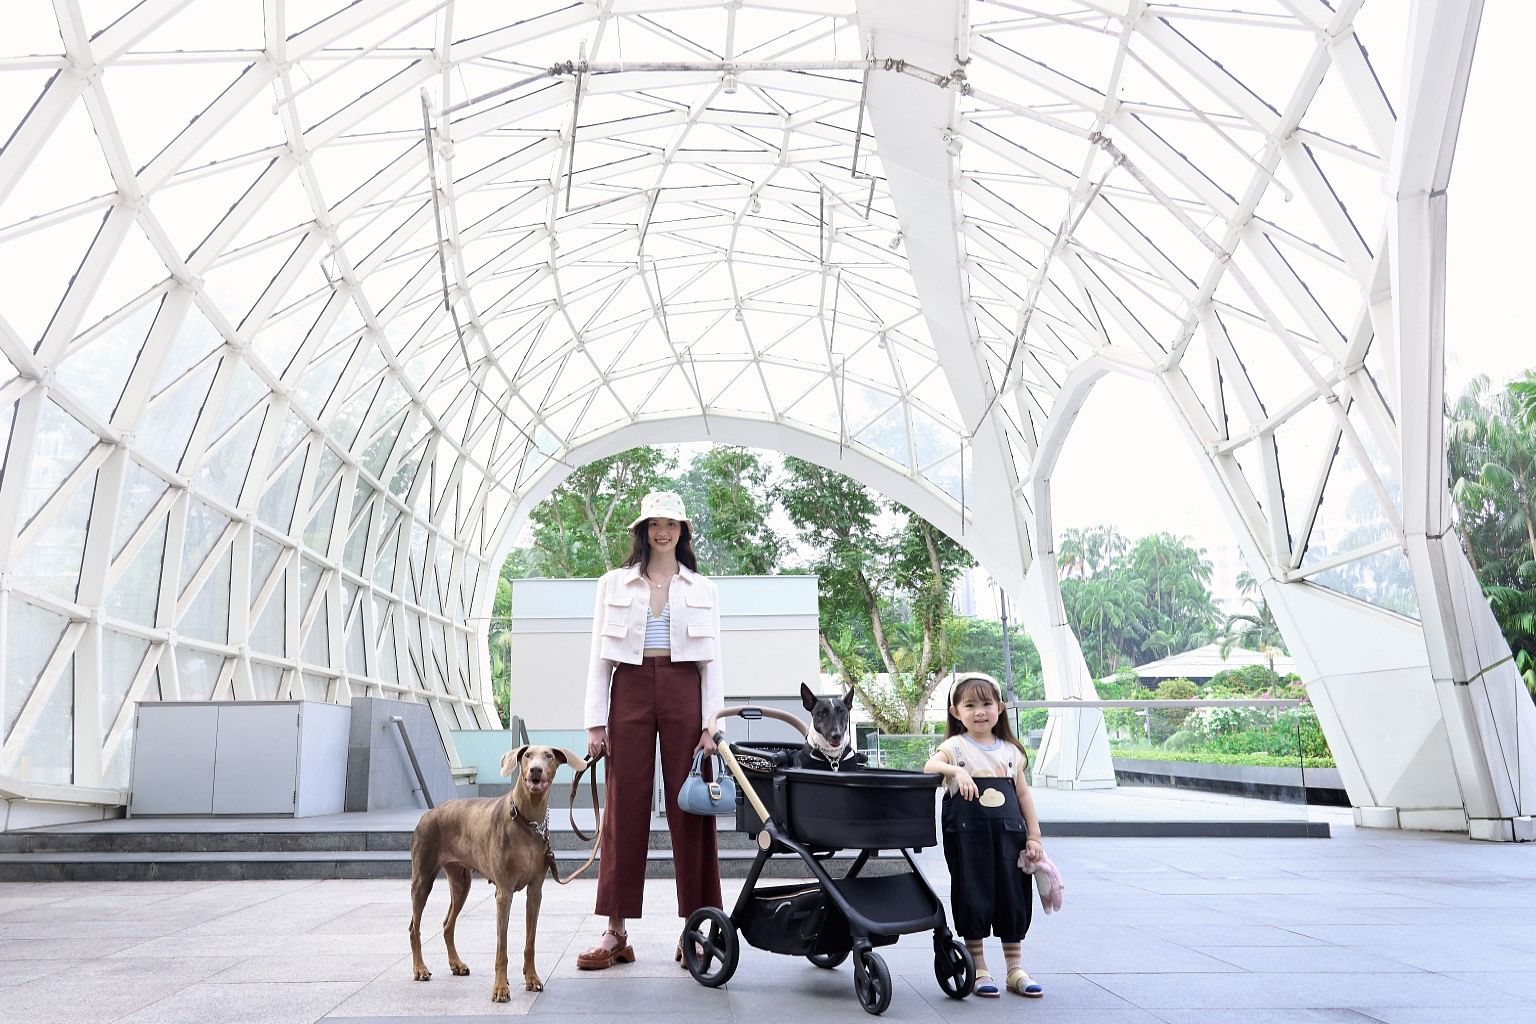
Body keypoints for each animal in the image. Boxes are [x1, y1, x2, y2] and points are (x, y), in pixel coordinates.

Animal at [405, 746, 583, 1000]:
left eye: (549, 756)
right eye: (527, 755)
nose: (536, 770)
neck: (528, 822)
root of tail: (427, 814)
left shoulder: (535, 892)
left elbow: (530, 942)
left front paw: (531, 978)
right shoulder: (504, 893)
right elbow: (502, 947)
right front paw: (500, 988)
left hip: (461, 881)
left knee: (447, 924)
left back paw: (456, 964)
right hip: (423, 878)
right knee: (414, 927)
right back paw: (420, 968)